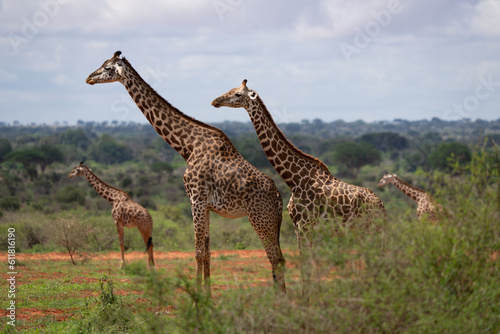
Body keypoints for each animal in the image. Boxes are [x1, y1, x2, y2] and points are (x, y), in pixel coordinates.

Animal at [86, 51, 286, 294]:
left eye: (107, 68)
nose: (89, 78)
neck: (187, 147)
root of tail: (279, 199)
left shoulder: (196, 199)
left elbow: (198, 251)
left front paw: (198, 294)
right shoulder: (206, 205)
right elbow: (207, 251)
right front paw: (207, 293)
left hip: (260, 219)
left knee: (276, 258)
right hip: (270, 221)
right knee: (278, 259)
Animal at [211, 81, 386, 298]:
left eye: (237, 94)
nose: (215, 101)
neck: (294, 179)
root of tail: (381, 206)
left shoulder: (305, 225)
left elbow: (307, 265)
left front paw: (306, 300)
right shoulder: (298, 227)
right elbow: (307, 264)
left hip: (371, 229)